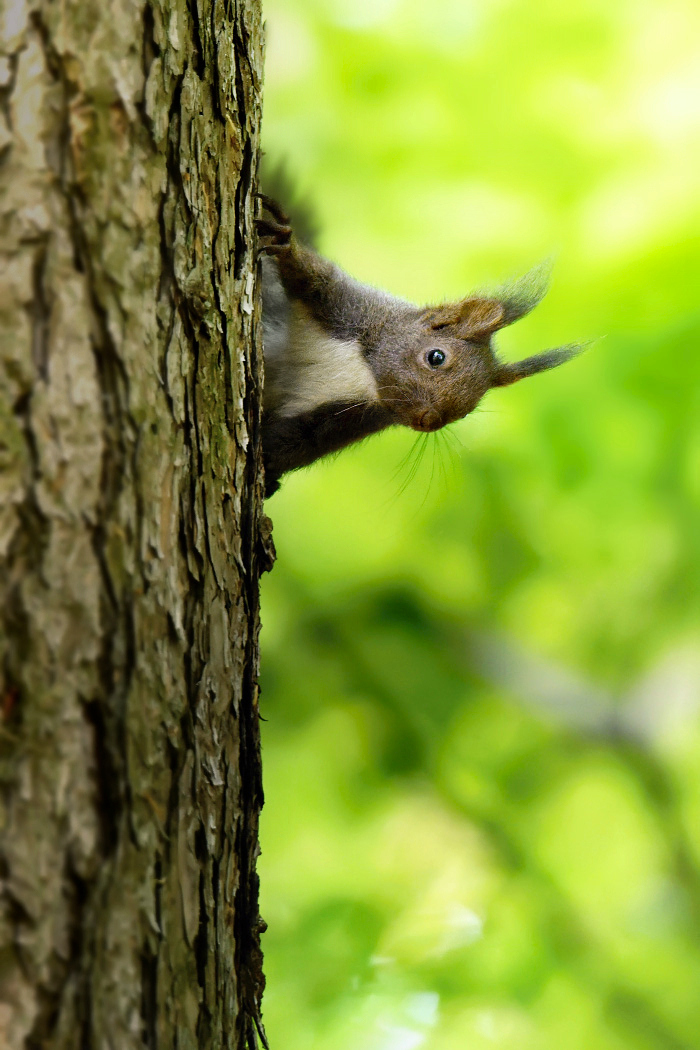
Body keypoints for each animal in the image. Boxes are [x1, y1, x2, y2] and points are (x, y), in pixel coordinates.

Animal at [255, 197, 583, 499]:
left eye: (467, 412)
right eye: (436, 357)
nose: (427, 421)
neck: (367, 369)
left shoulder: (354, 416)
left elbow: (301, 440)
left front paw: (266, 461)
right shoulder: (348, 305)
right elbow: (310, 276)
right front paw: (284, 242)